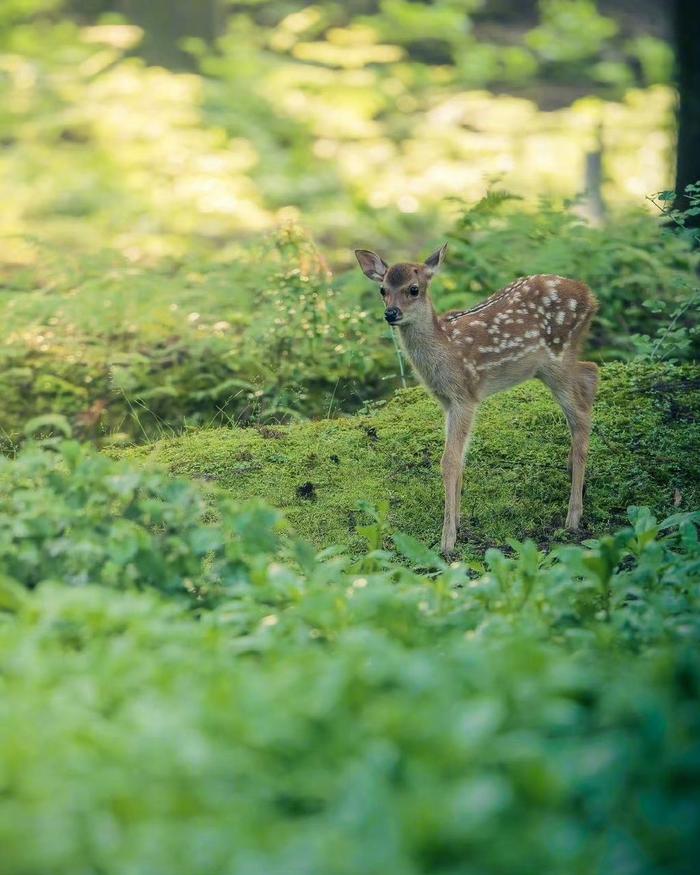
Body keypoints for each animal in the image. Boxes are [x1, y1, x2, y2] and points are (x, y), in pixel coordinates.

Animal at [355, 244, 599, 554]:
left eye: (414, 289)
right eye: (382, 289)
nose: (391, 313)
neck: (444, 350)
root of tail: (590, 295)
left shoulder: (465, 396)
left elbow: (449, 461)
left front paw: (447, 540)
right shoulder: (447, 401)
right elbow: (459, 458)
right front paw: (457, 522)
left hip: (557, 358)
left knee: (580, 414)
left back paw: (573, 516)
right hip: (555, 365)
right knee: (591, 374)